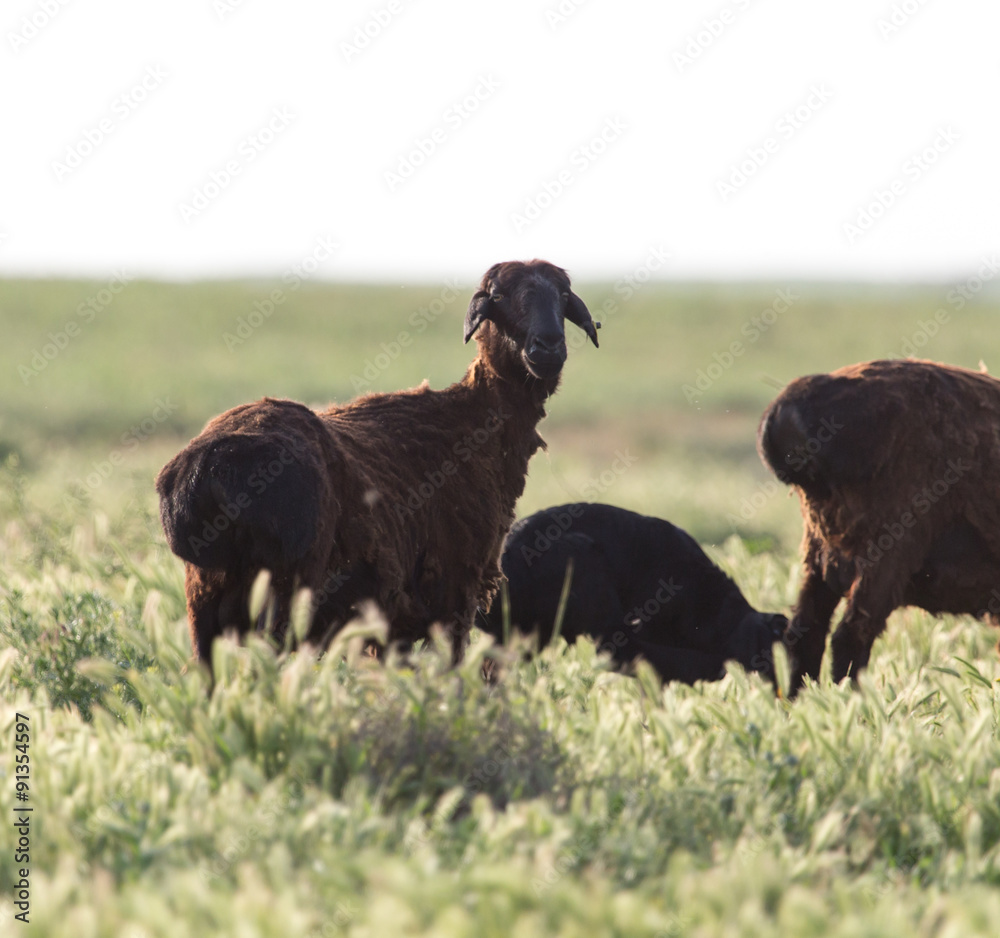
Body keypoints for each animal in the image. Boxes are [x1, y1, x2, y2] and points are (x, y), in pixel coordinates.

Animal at [156, 260, 600, 670]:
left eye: (562, 295)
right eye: (501, 295)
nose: (548, 347)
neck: (475, 419)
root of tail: (204, 471)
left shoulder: (395, 619)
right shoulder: (458, 588)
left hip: (205, 603)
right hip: (285, 593)